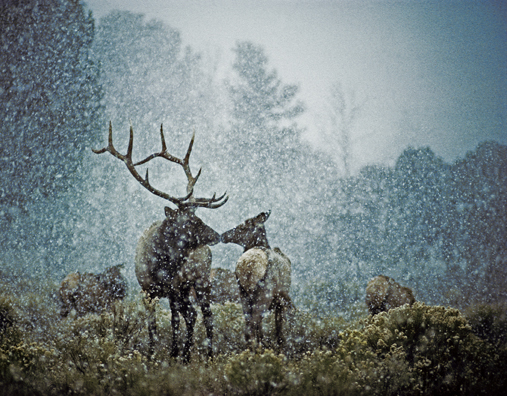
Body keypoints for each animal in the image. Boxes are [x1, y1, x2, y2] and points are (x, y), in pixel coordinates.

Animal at [92, 123, 227, 362]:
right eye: (189, 221)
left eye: (198, 217)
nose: (216, 235)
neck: (161, 264)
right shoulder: (147, 290)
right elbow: (152, 325)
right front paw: (152, 356)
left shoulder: (173, 288)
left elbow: (174, 321)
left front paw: (172, 355)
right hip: (185, 289)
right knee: (192, 314)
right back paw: (187, 355)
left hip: (201, 281)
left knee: (205, 315)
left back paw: (207, 355)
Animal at [220, 212, 292, 352]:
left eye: (243, 226)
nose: (223, 235)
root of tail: (249, 265)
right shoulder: (281, 301)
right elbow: (279, 331)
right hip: (263, 294)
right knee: (253, 324)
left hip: (243, 293)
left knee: (249, 326)